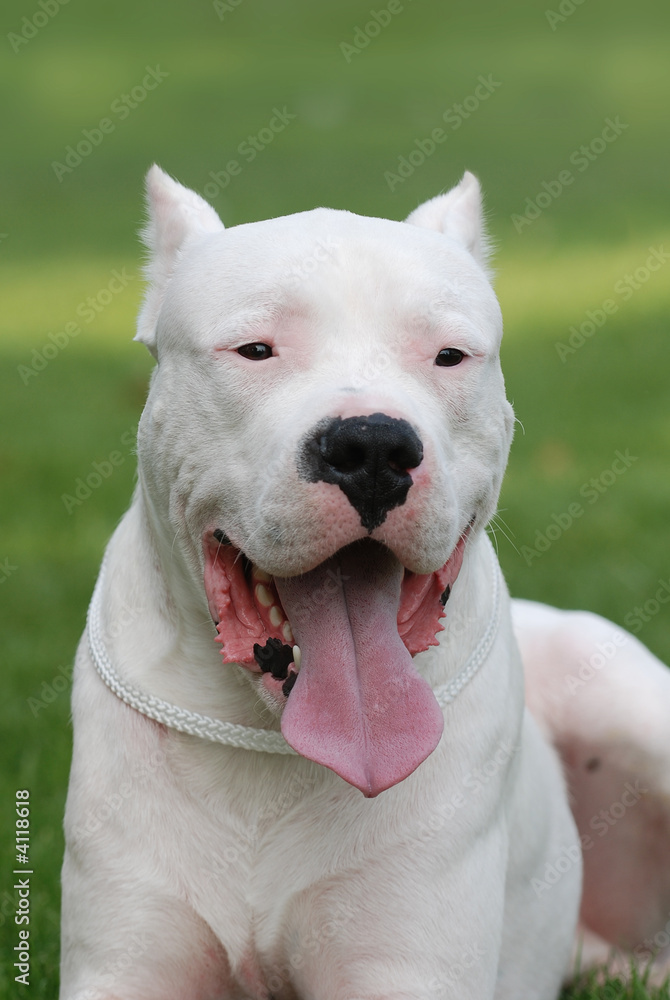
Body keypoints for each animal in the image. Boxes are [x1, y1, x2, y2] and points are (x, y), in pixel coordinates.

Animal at [59, 168, 670, 996]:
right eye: (256, 350)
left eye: (449, 356)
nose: (373, 445)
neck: (273, 745)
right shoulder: (122, 966)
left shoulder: (406, 968)